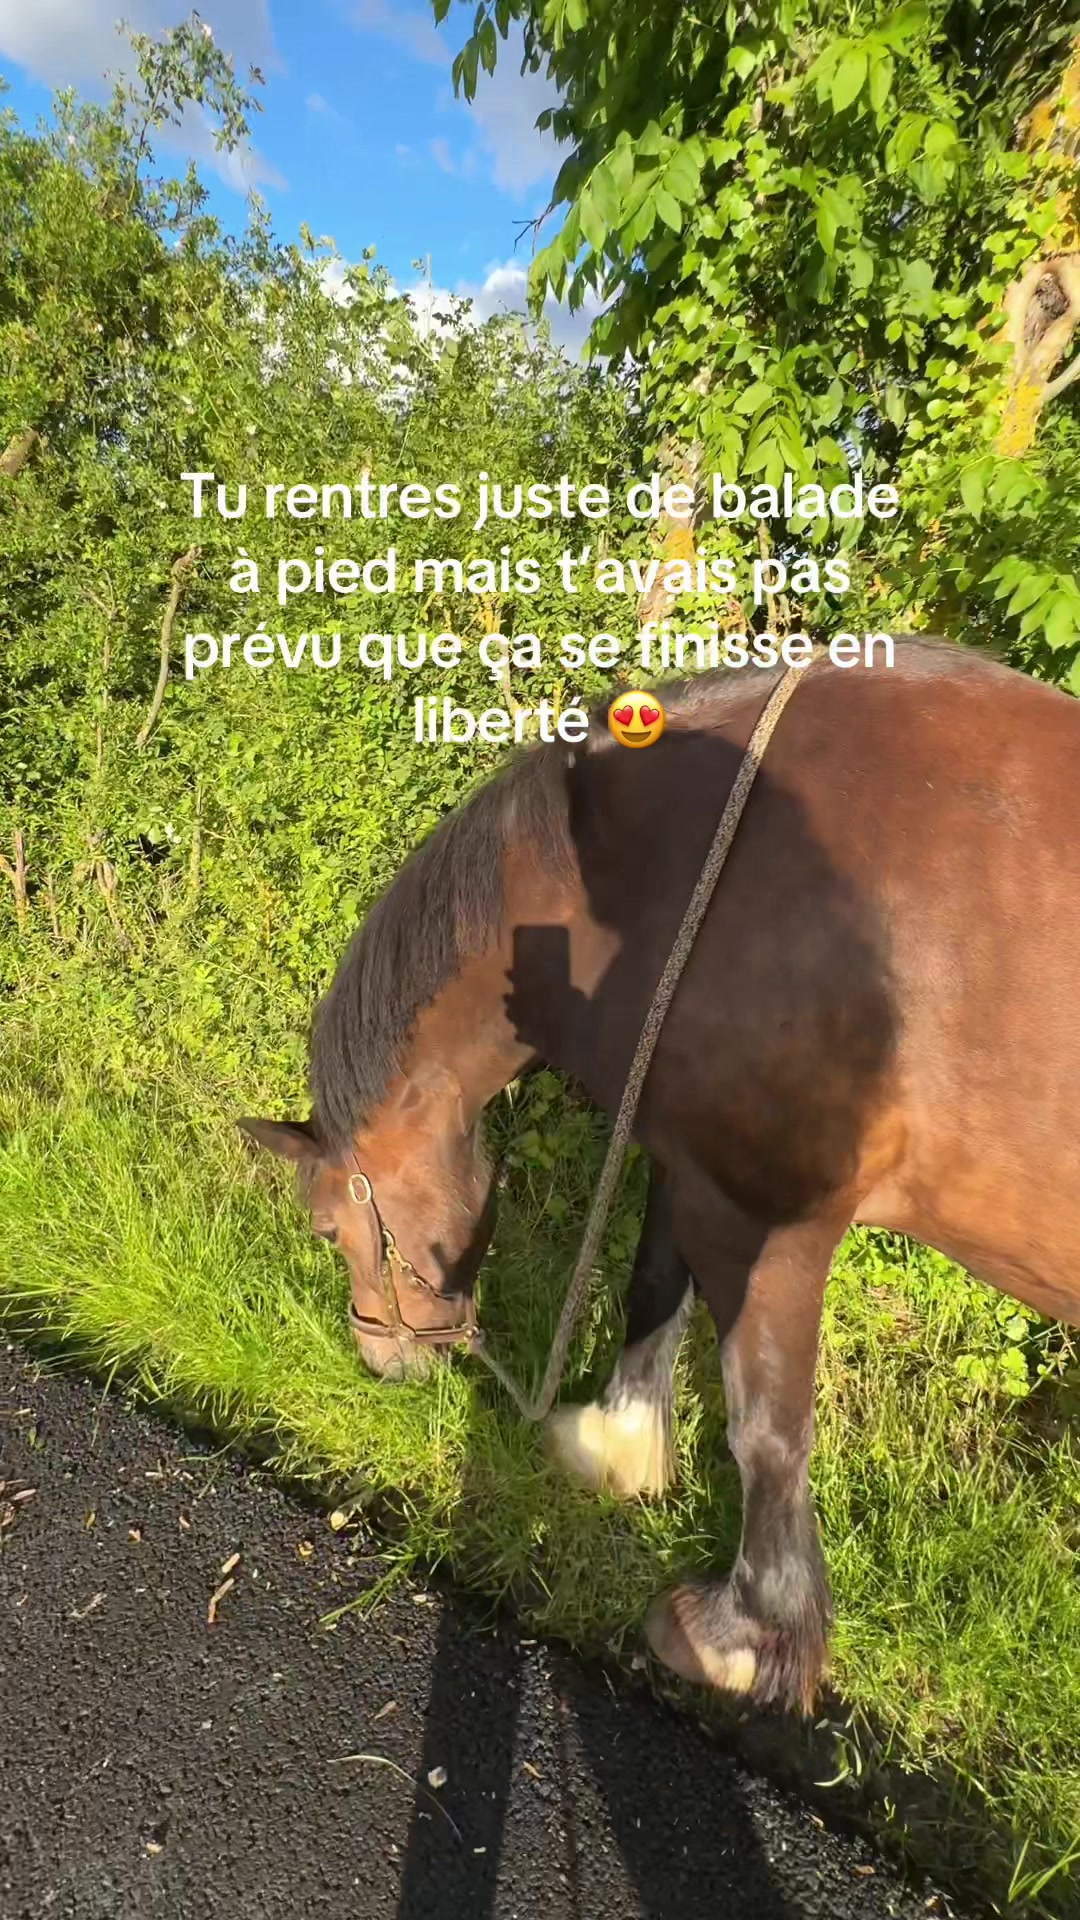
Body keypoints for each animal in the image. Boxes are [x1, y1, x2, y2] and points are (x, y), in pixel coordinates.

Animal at [242, 635, 1080, 1712]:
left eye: (325, 1227)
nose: (381, 1358)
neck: (666, 887)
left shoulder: (769, 1215)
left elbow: (767, 1425)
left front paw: (743, 1634)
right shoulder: (693, 1158)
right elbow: (653, 1287)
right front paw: (617, 1444)